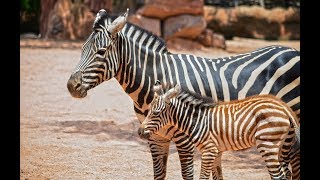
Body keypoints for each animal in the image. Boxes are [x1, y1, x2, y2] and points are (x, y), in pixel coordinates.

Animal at [138, 83, 300, 179]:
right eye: (149, 111)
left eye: (156, 113)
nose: (139, 132)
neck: (198, 120)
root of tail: (284, 106)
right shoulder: (217, 151)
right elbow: (218, 176)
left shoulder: (209, 150)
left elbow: (203, 177)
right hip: (282, 145)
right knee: (286, 173)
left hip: (267, 144)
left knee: (278, 176)